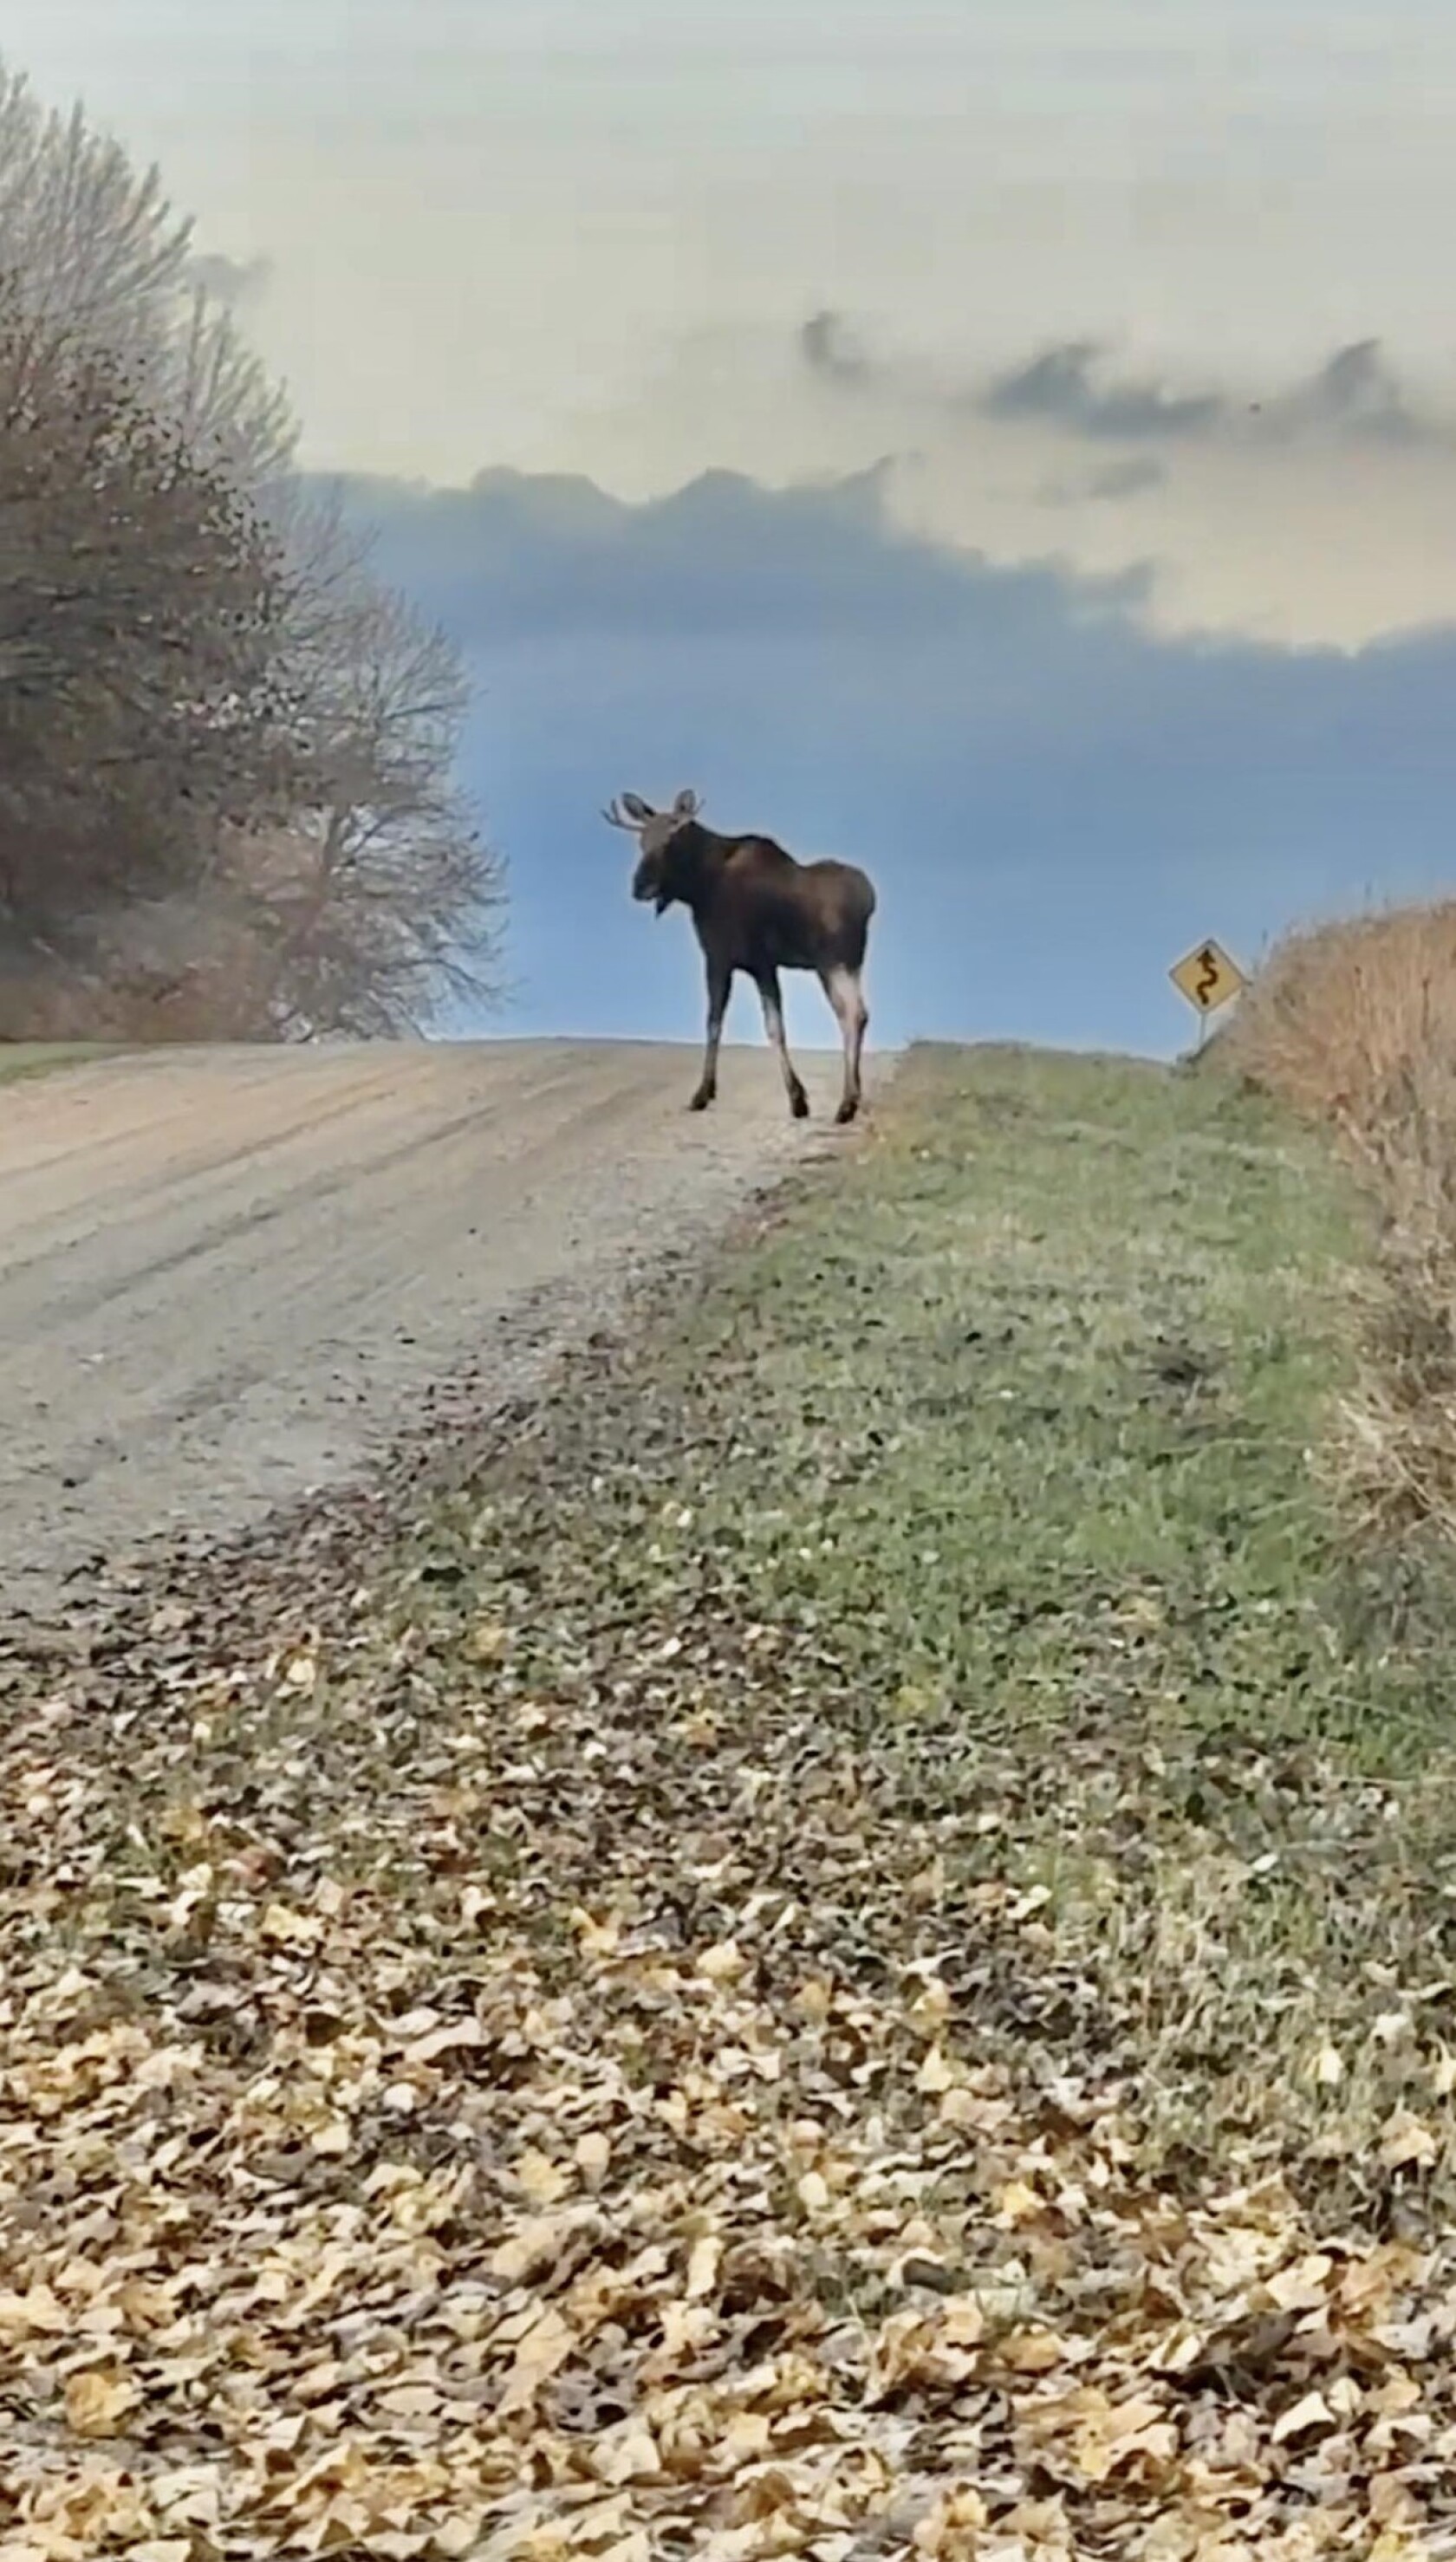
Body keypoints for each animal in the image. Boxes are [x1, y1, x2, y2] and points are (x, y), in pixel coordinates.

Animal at [601, 788, 875, 1124]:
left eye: (670, 842)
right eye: (641, 842)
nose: (640, 887)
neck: (699, 888)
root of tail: (870, 898)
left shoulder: (730, 958)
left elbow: (729, 1023)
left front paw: (704, 1094)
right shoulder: (755, 964)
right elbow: (756, 1025)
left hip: (832, 960)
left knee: (852, 1013)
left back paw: (846, 1103)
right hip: (850, 963)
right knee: (857, 1013)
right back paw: (854, 1098)